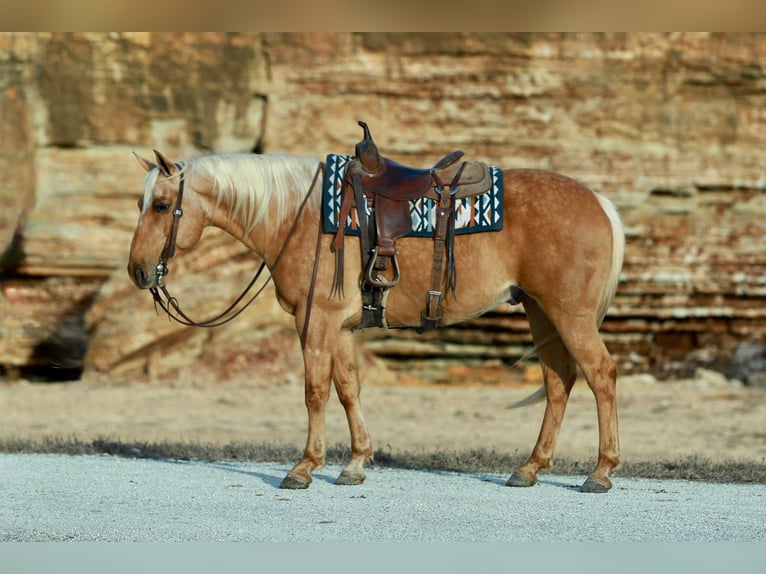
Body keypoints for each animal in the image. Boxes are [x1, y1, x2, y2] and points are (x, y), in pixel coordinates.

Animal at [127, 144, 625, 493]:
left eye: (160, 205)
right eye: (140, 203)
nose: (138, 270)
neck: (297, 216)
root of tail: (599, 201)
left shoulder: (315, 321)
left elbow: (314, 391)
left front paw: (305, 467)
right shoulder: (342, 327)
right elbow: (349, 389)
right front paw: (355, 463)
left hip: (569, 315)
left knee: (600, 375)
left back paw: (601, 471)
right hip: (541, 311)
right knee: (559, 382)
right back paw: (530, 467)